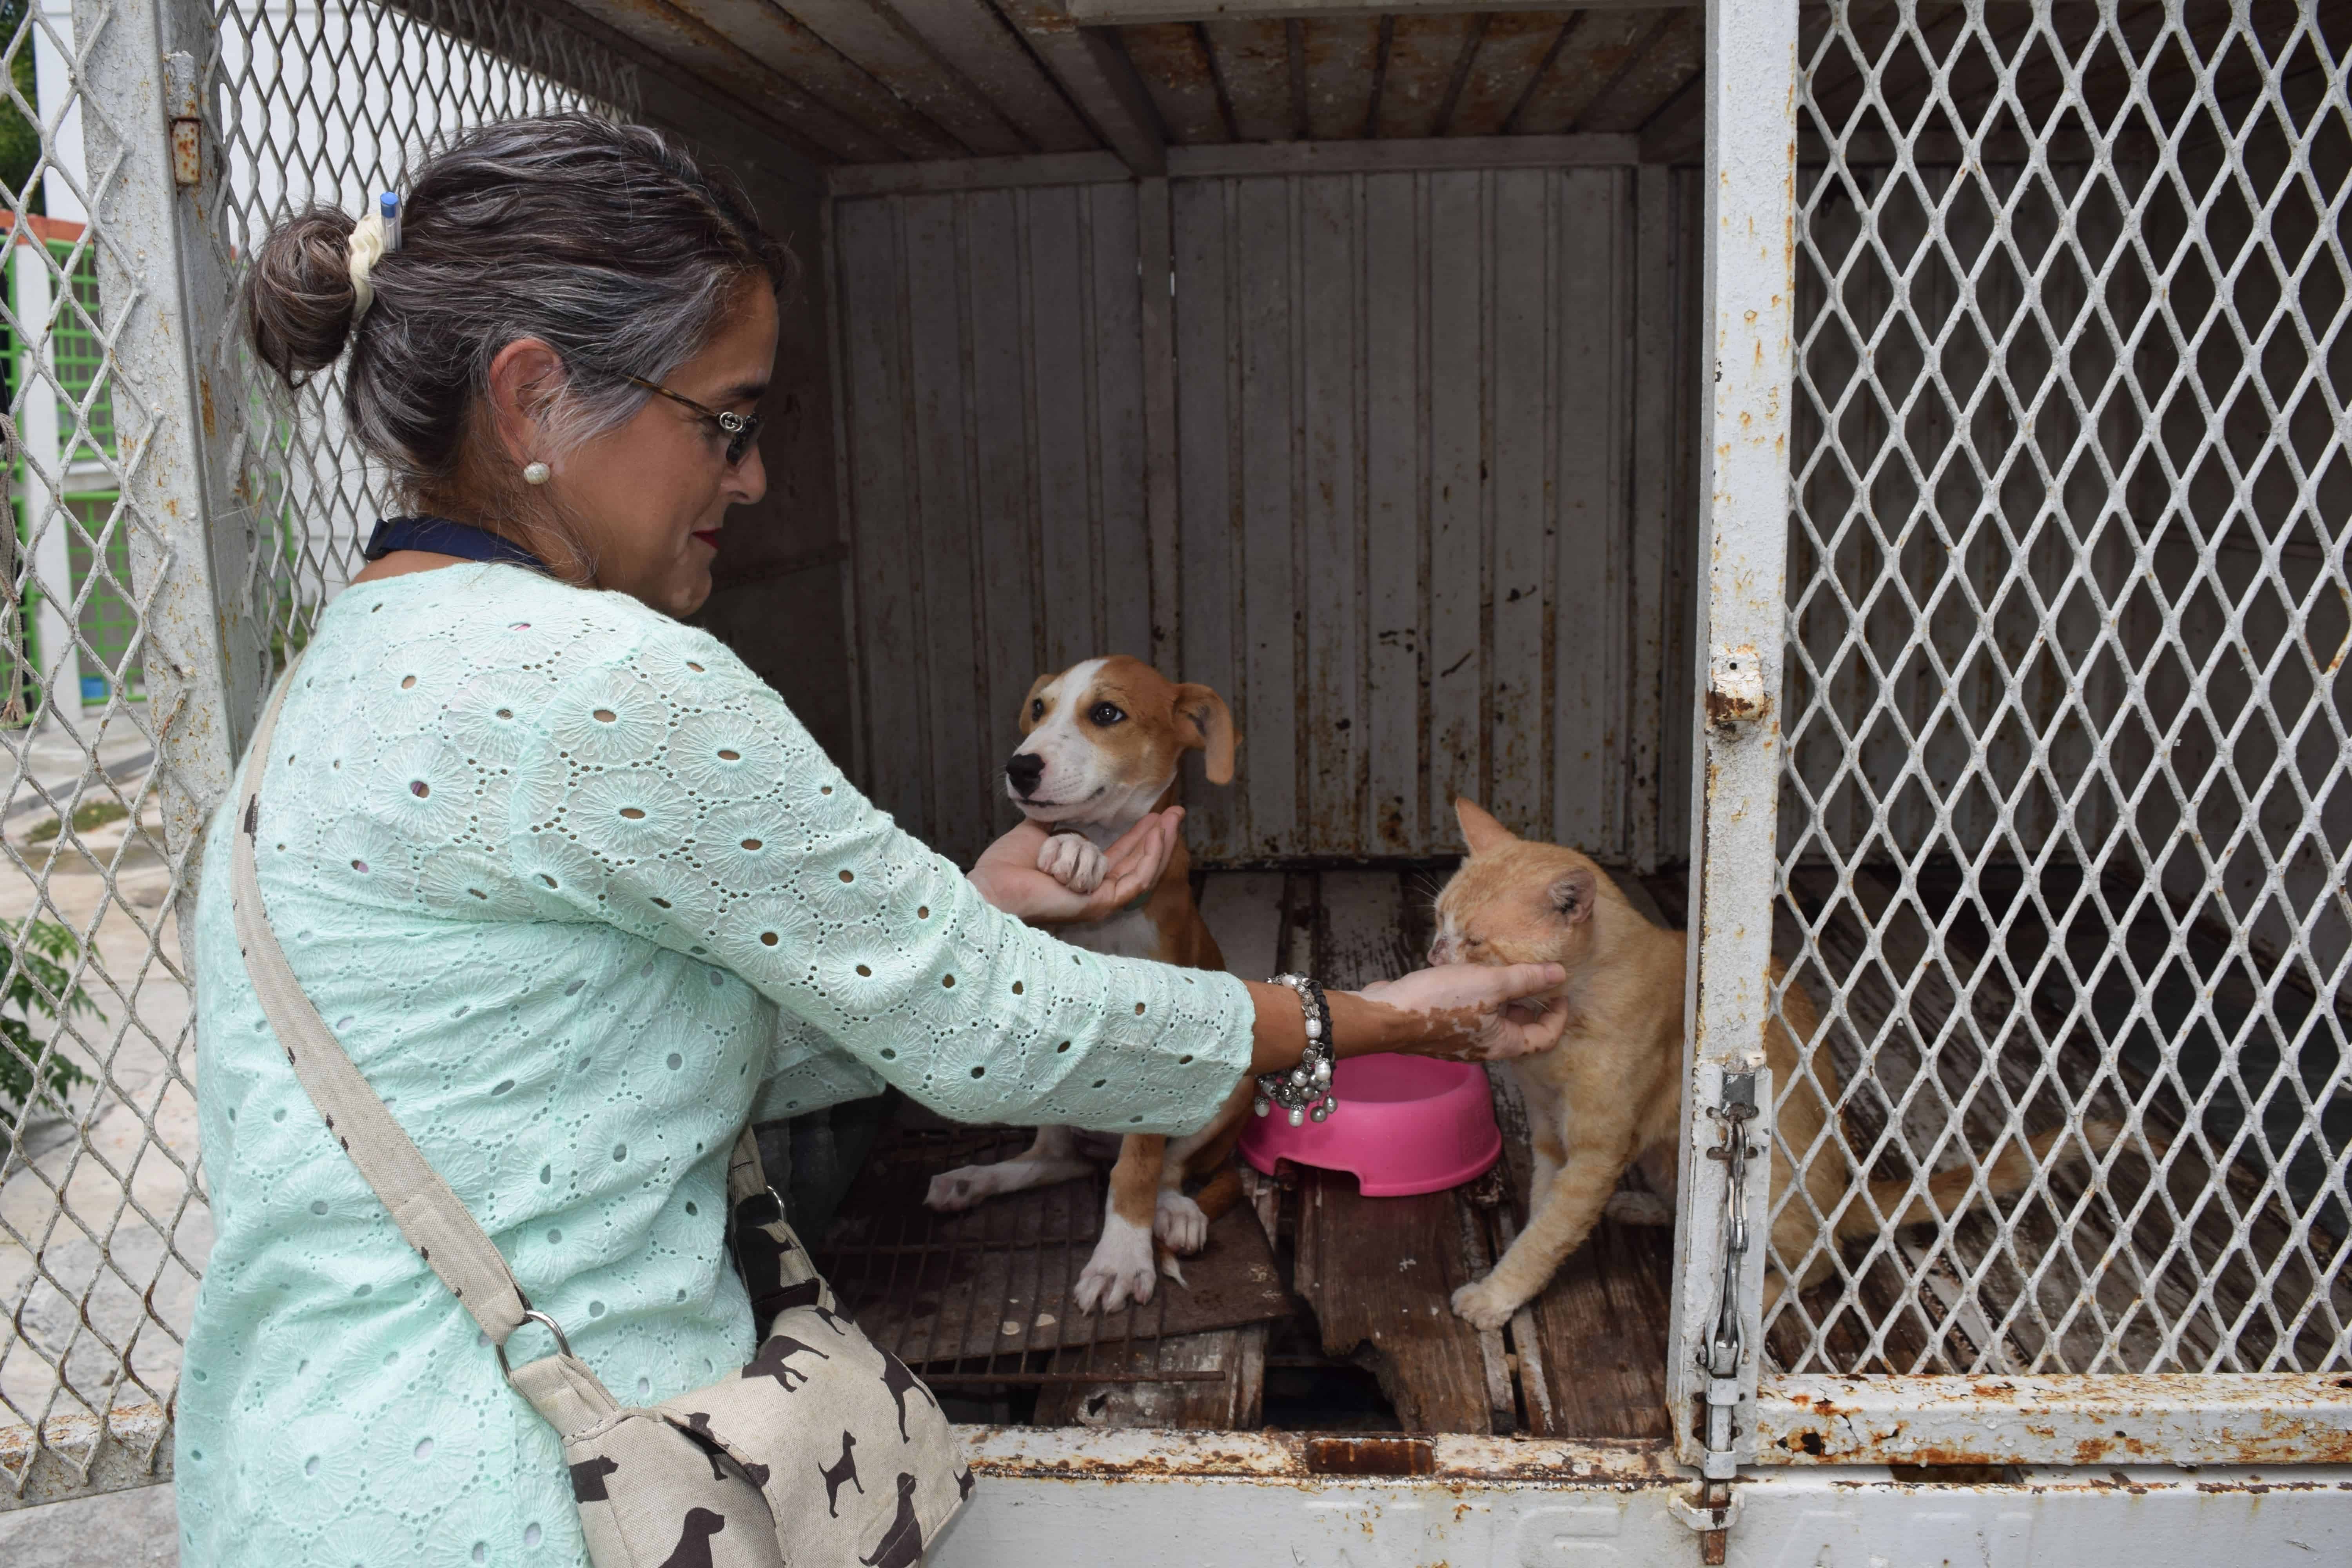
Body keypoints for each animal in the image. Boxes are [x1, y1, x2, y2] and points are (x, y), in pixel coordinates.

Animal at [922, 658, 1261, 1316]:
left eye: (1107, 713)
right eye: (1038, 709)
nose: (1020, 767)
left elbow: (1140, 1169)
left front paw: (1120, 1261)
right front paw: (1072, 849)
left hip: (1231, 1092)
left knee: (1170, 1169)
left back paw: (1175, 1213)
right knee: (1056, 1161)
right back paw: (977, 1178)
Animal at [1421, 804, 2126, 1335]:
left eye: (1475, 942)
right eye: (1438, 920)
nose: (1433, 957)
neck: (1565, 1025)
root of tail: (1841, 1198)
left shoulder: (1595, 1151)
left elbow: (1549, 1231)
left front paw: (1498, 1294)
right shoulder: (1551, 1134)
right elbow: (1542, 1212)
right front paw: (1512, 1285)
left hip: (1772, 1191)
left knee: (1815, 1266)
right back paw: (1650, 1208)